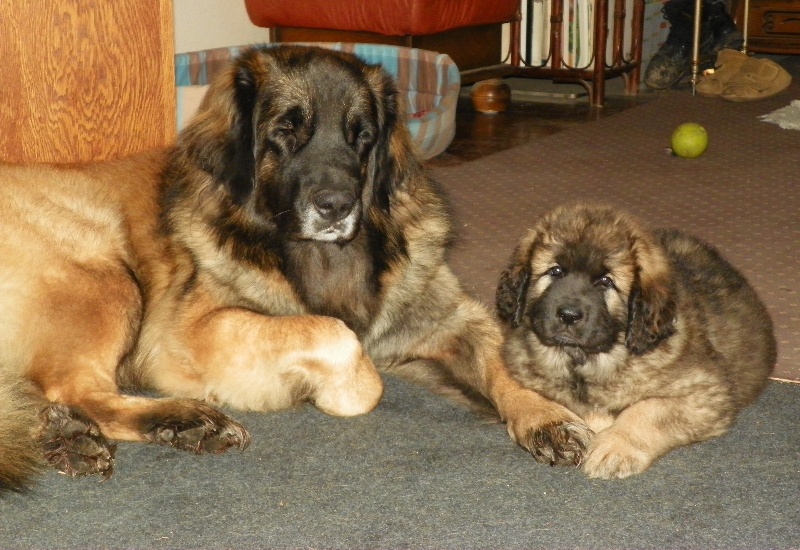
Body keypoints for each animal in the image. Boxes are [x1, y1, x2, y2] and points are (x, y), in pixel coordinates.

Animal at [0, 46, 588, 492]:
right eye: (286, 130)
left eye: (361, 135)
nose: (336, 206)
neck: (325, 259)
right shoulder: (185, 335)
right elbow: (340, 341)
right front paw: (335, 392)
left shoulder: (445, 315)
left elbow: (500, 355)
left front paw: (545, 416)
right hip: (104, 275)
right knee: (75, 389)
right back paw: (176, 421)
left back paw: (64, 437)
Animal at [496, 205, 780, 480]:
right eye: (555, 271)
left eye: (606, 282)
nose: (568, 315)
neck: (585, 360)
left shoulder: (706, 392)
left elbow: (648, 409)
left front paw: (614, 447)